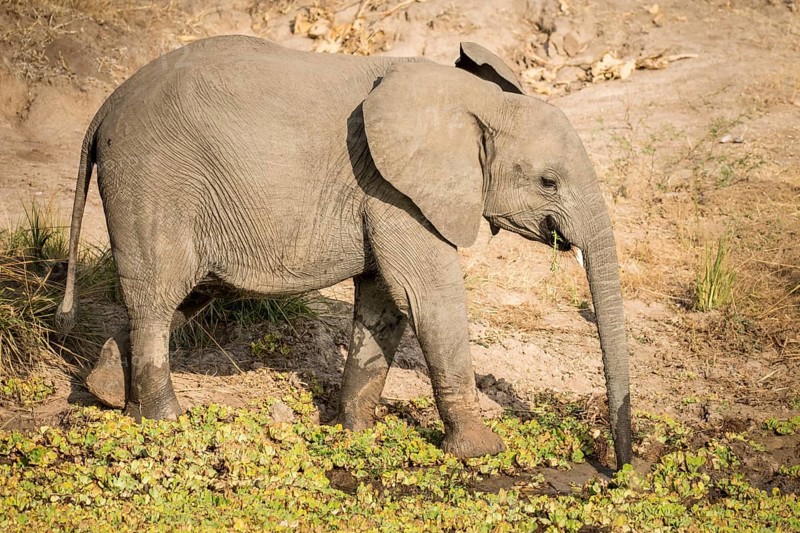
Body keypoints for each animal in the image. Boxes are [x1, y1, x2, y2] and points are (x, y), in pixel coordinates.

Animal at [56, 36, 632, 467]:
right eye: (548, 181)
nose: (619, 467)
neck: (473, 102)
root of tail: (104, 109)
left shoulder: (387, 193)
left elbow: (385, 304)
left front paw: (354, 433)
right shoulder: (394, 189)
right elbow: (429, 297)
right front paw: (482, 452)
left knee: (179, 296)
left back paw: (108, 395)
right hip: (152, 181)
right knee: (158, 299)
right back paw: (165, 423)